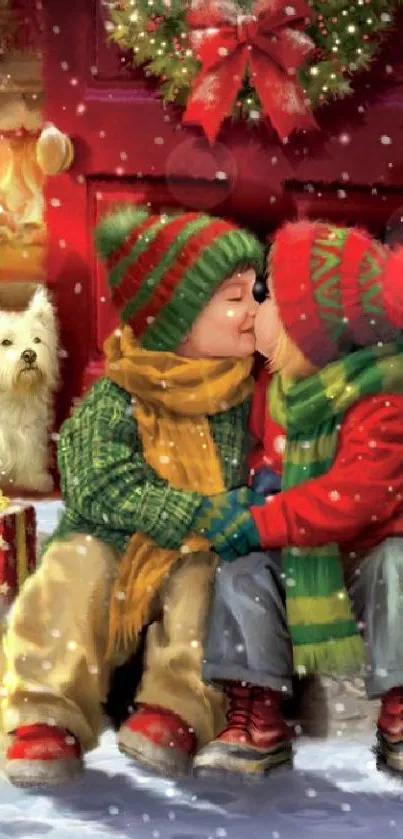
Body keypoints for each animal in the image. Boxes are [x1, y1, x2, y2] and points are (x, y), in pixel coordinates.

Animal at [0, 288, 59, 492]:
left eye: (37, 339)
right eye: (6, 342)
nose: (29, 355)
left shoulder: (30, 428)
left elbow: (31, 456)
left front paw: (36, 481)